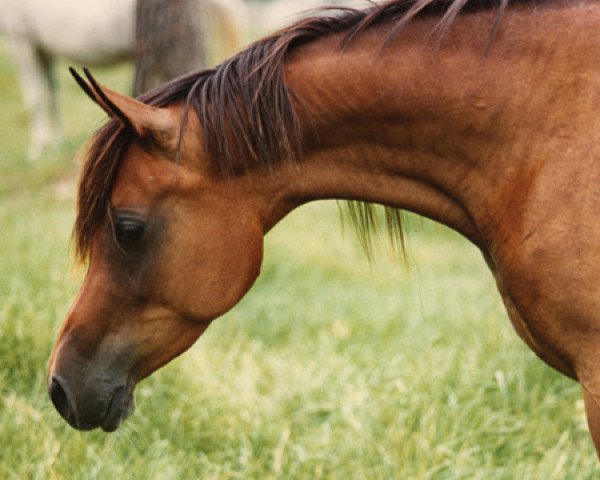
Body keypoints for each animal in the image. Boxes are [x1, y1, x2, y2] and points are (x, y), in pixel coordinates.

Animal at [0, 0, 247, 159]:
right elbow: (52, 97)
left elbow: (35, 99)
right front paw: (57, 142)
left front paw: (38, 148)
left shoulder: (22, 43)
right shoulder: (43, 51)